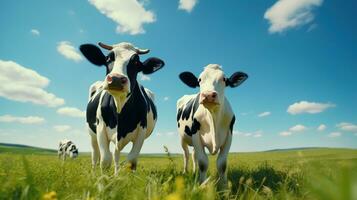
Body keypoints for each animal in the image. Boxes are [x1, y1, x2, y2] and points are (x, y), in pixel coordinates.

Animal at [79, 41, 164, 174]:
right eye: (108, 58)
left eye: (136, 62)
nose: (116, 79)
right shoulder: (101, 127)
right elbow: (105, 159)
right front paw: (103, 179)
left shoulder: (142, 131)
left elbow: (131, 160)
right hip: (92, 134)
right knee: (95, 155)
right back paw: (94, 172)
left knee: (116, 154)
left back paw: (116, 174)